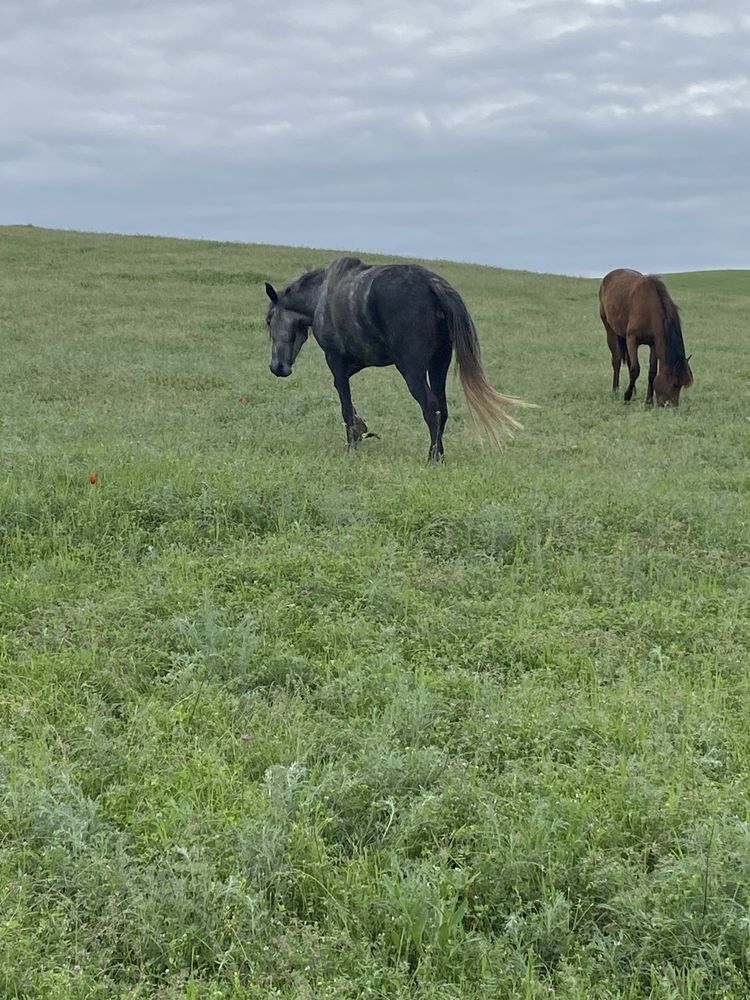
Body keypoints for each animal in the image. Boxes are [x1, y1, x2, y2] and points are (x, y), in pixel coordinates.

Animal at [264, 256, 528, 462]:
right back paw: (439, 454)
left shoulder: (335, 360)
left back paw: (433, 457)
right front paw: (361, 428)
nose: (277, 367)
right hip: (438, 364)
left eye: (268, 321)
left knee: (430, 407)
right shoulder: (358, 360)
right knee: (442, 409)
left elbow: (344, 401)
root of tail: (432, 284)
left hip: (412, 368)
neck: (323, 295)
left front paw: (352, 443)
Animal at [604, 270, 696, 406]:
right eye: (675, 384)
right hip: (609, 329)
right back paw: (615, 391)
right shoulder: (632, 339)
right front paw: (626, 397)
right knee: (617, 360)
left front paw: (648, 401)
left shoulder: (653, 344)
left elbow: (652, 372)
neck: (649, 309)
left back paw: (634, 391)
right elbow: (635, 369)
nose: (673, 406)